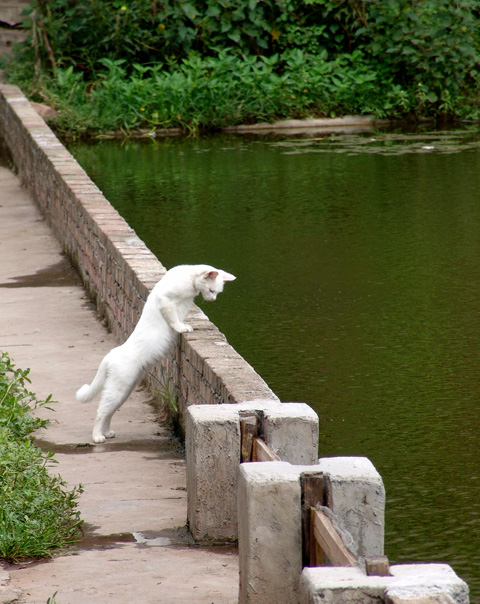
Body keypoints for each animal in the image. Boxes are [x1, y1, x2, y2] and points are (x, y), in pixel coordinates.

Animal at [74, 264, 236, 444]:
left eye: (217, 292)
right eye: (211, 290)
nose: (213, 300)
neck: (190, 278)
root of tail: (111, 353)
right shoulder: (165, 301)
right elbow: (174, 319)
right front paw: (182, 328)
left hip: (124, 391)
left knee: (109, 411)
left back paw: (107, 432)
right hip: (118, 389)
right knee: (100, 411)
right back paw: (97, 436)